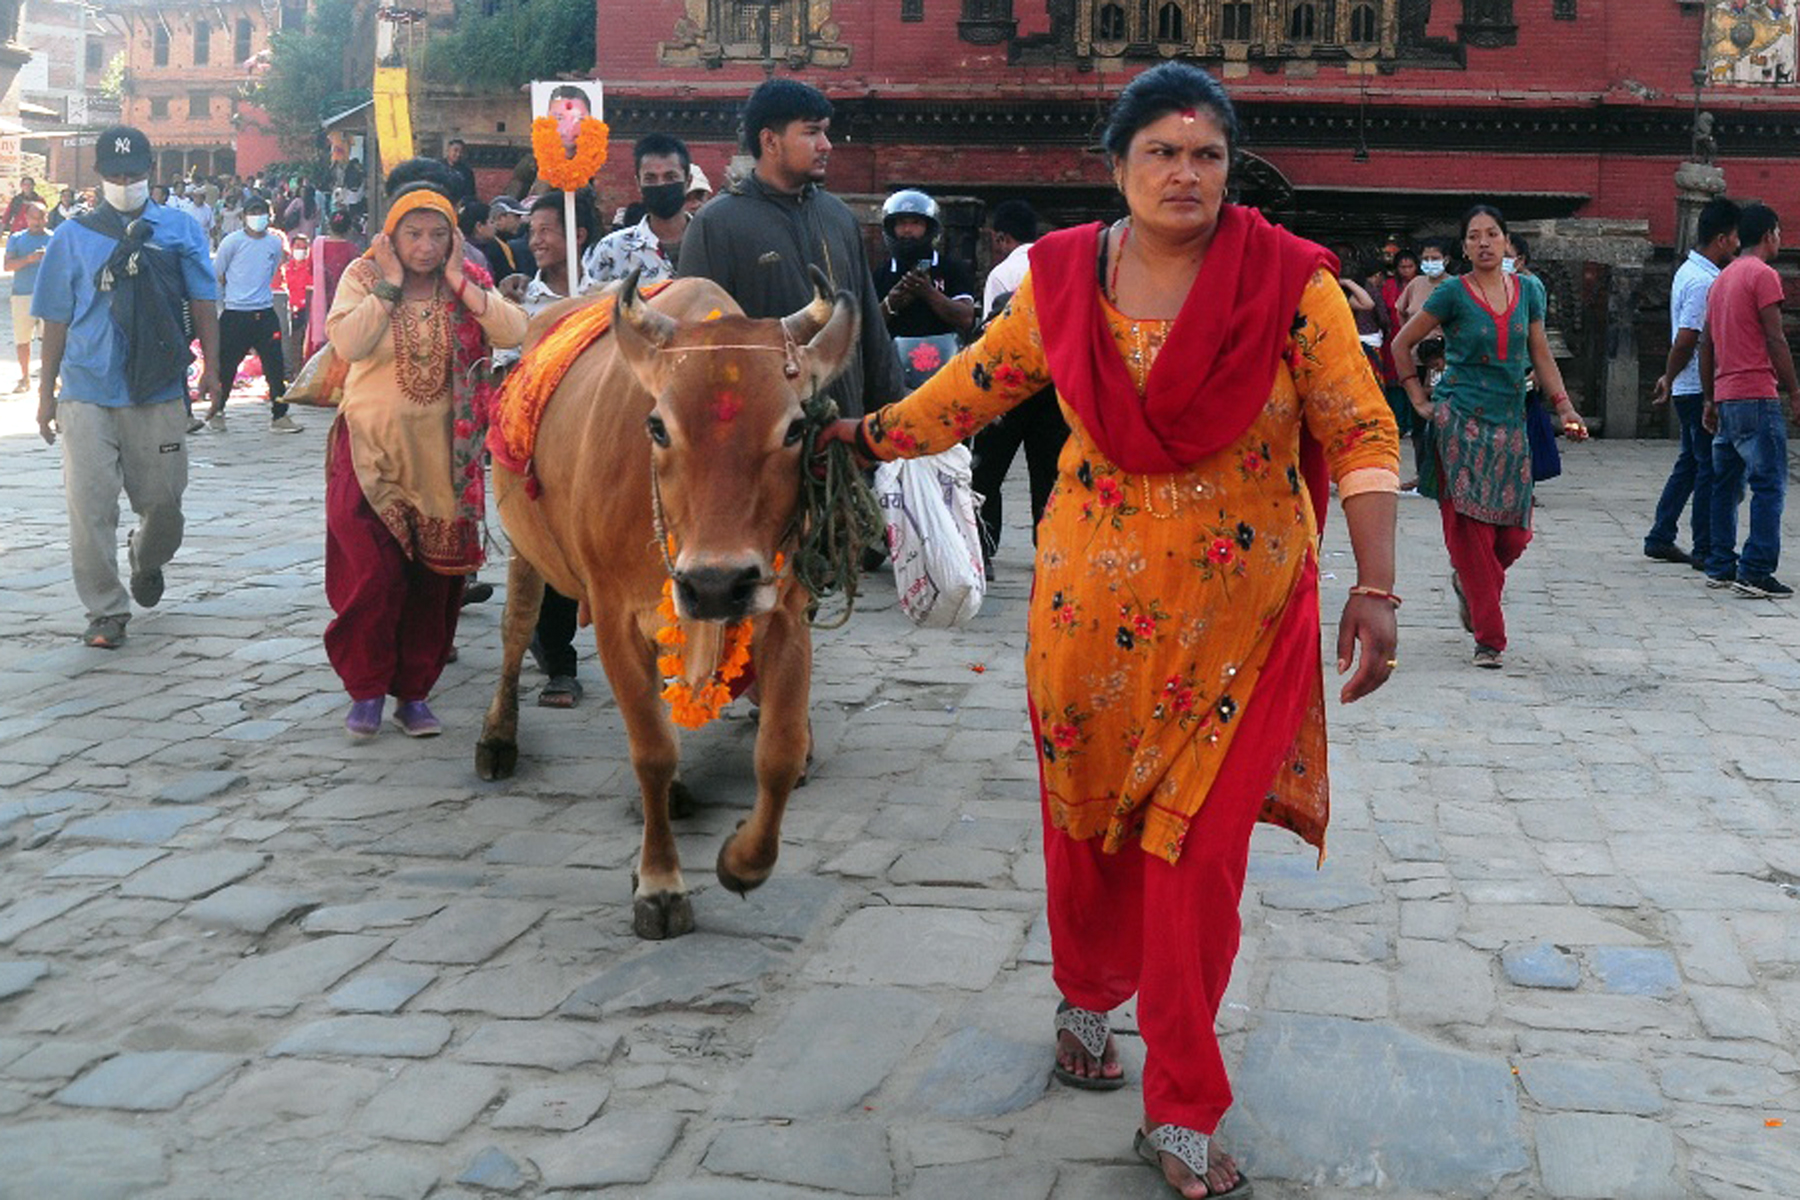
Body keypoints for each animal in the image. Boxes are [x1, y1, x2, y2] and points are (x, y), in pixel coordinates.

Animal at [471, 269, 849, 935]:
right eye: (657, 427)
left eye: (796, 427)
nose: (718, 582)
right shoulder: (615, 620)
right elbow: (650, 749)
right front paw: (659, 886)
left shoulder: (784, 613)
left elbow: (777, 753)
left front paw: (743, 861)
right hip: (526, 547)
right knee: (516, 630)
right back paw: (498, 738)